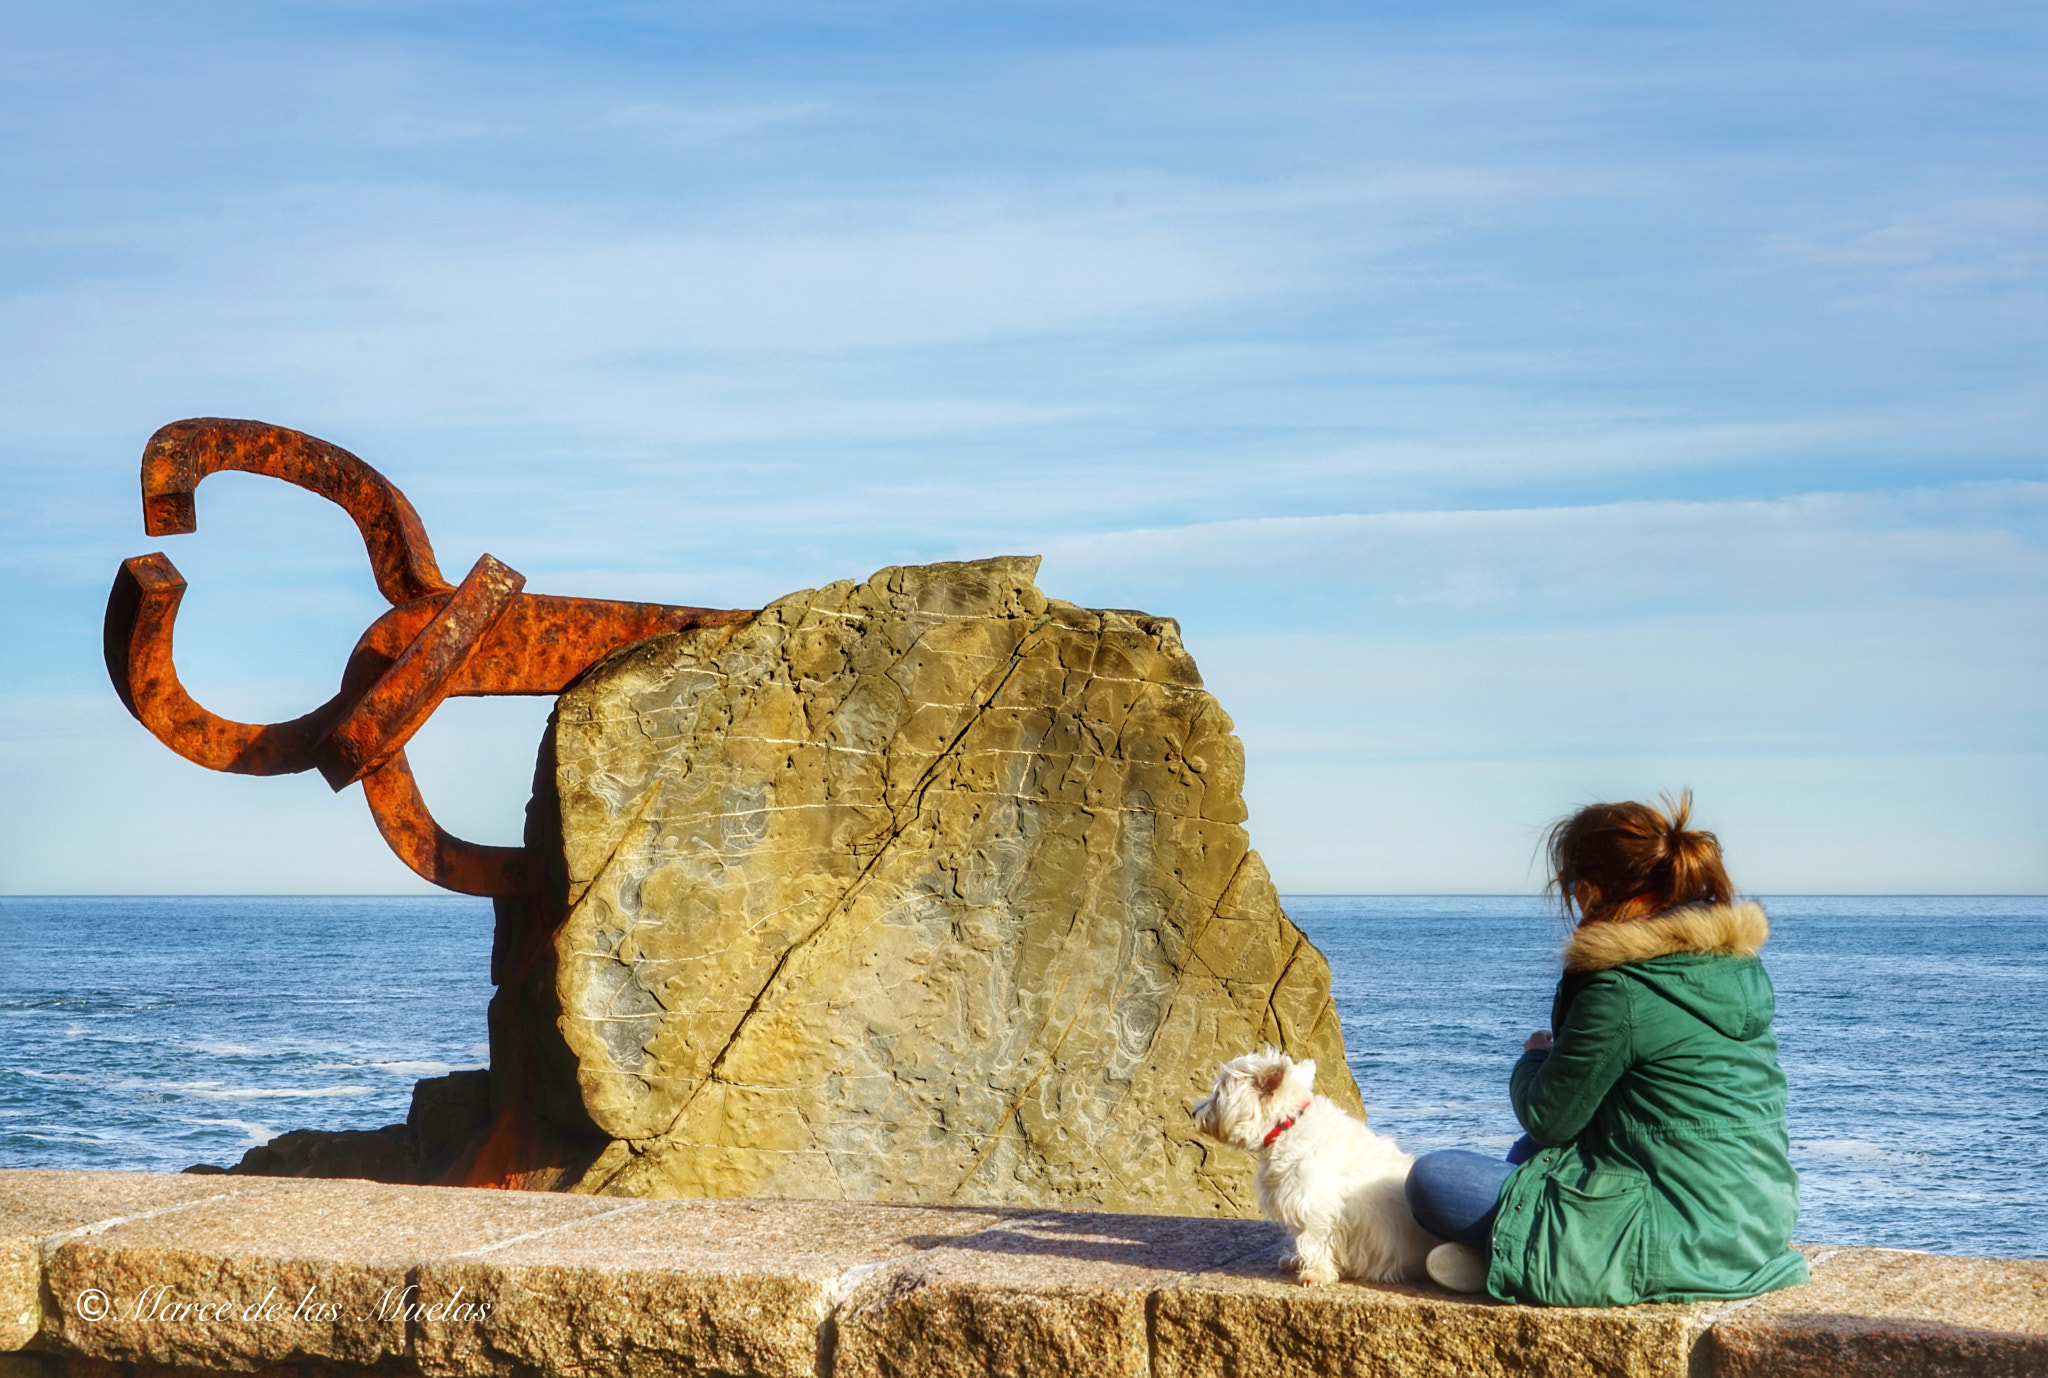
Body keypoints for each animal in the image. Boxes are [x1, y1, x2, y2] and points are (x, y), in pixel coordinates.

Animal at [1187, 1048, 1441, 1285]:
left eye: (1219, 1093)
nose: (1194, 1113)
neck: (1286, 1126)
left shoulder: (1316, 1206)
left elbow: (1315, 1240)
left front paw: (1316, 1274)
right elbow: (1302, 1236)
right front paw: (1297, 1261)